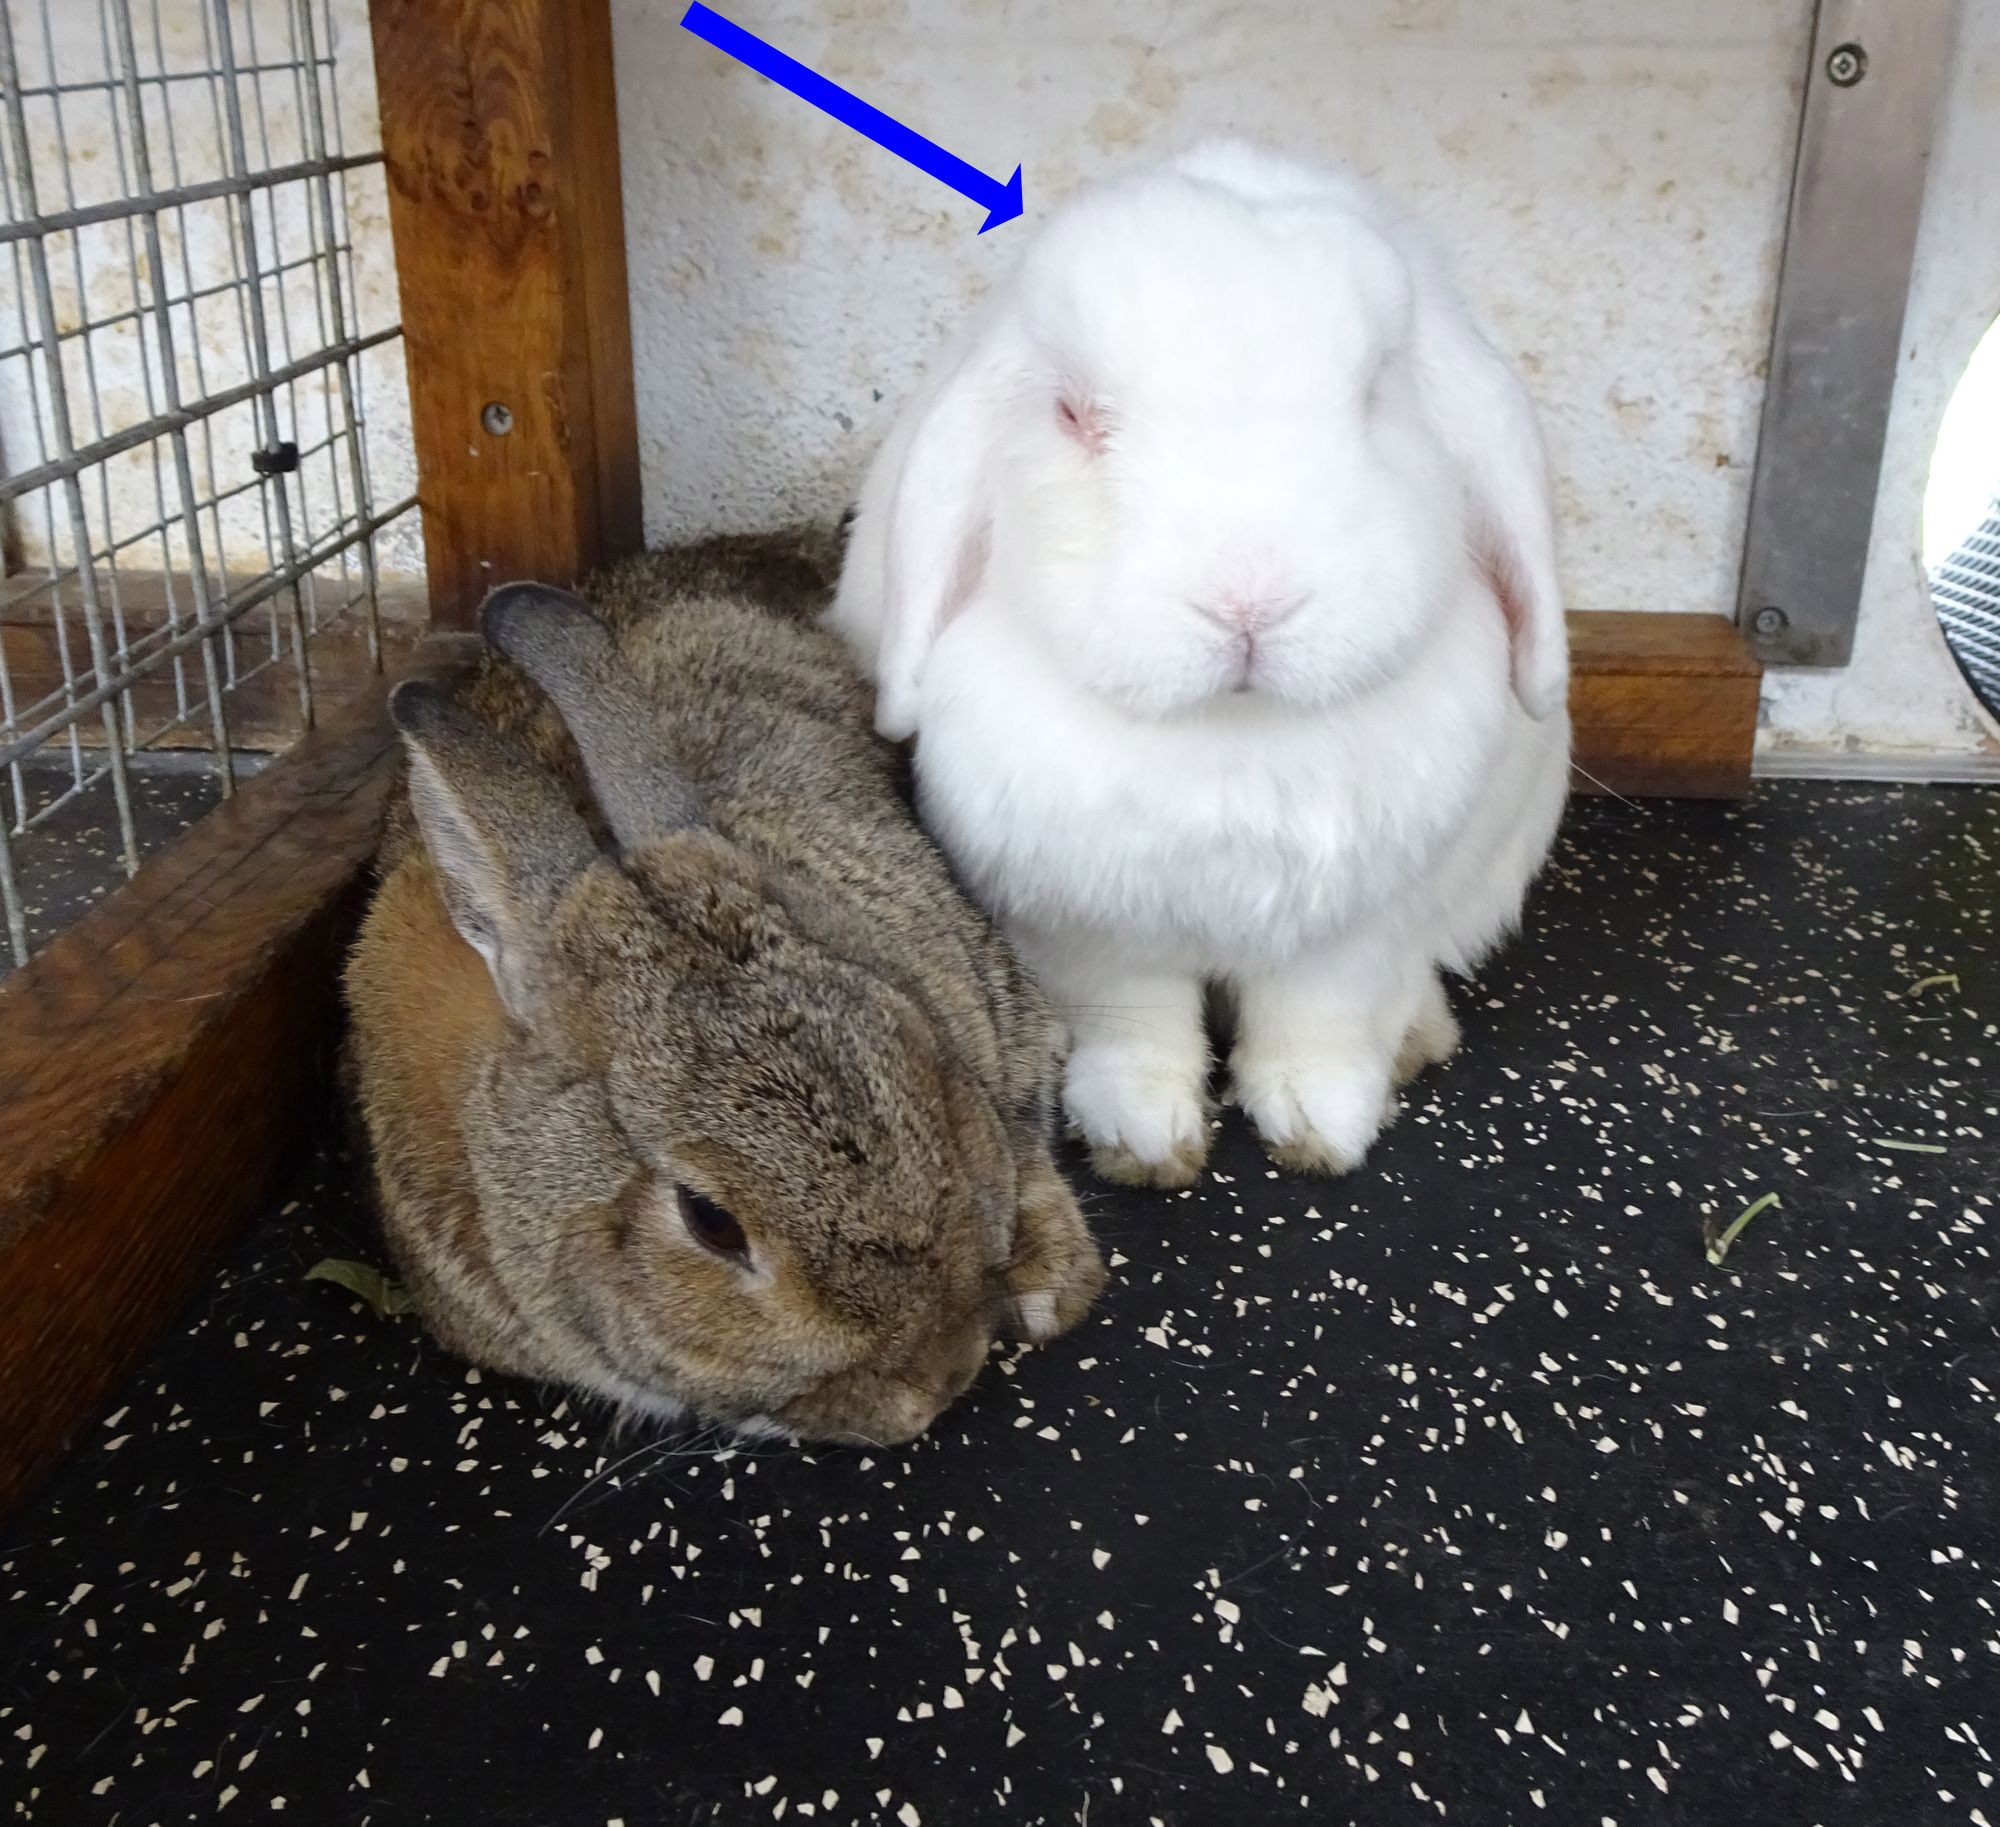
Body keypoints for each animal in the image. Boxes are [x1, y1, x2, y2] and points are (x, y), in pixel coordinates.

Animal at [827, 140, 1570, 1188]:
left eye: (1377, 394)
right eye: (1071, 414)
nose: (1248, 599)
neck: (1231, 734)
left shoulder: (1357, 929)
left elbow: (1319, 1025)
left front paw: (1322, 1129)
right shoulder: (1087, 930)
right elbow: (1135, 1028)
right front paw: (1142, 1139)